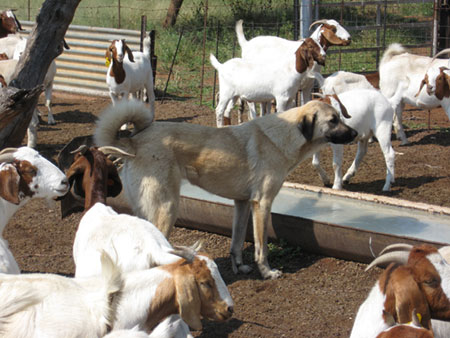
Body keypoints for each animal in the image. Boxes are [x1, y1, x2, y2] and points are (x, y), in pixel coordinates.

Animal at [96, 99, 358, 278]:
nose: (356, 133)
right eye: (333, 120)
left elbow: (237, 242)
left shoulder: (242, 204)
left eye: (339, 117)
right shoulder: (262, 204)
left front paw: (240, 267)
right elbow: (261, 247)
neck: (285, 135)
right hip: (167, 208)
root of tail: (134, 140)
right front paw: (267, 273)